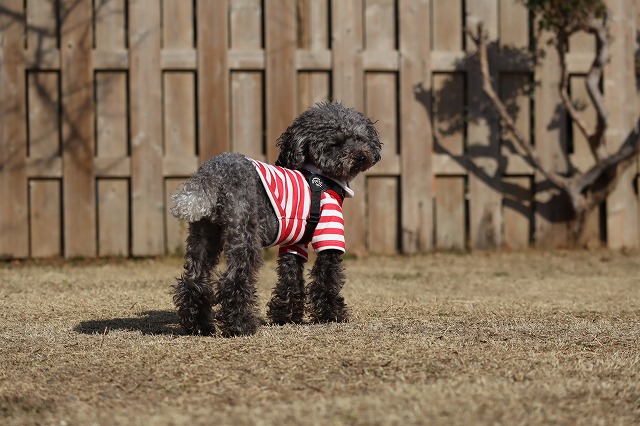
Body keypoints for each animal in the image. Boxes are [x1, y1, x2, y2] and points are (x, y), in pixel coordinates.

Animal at [170, 102, 381, 337]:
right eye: (336, 143)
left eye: (360, 138)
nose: (362, 156)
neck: (322, 177)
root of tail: (209, 178)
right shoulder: (330, 231)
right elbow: (327, 277)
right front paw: (332, 314)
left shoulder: (295, 243)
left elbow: (291, 276)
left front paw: (286, 315)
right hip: (244, 233)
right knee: (233, 279)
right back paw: (240, 325)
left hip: (204, 233)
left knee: (194, 280)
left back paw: (198, 326)